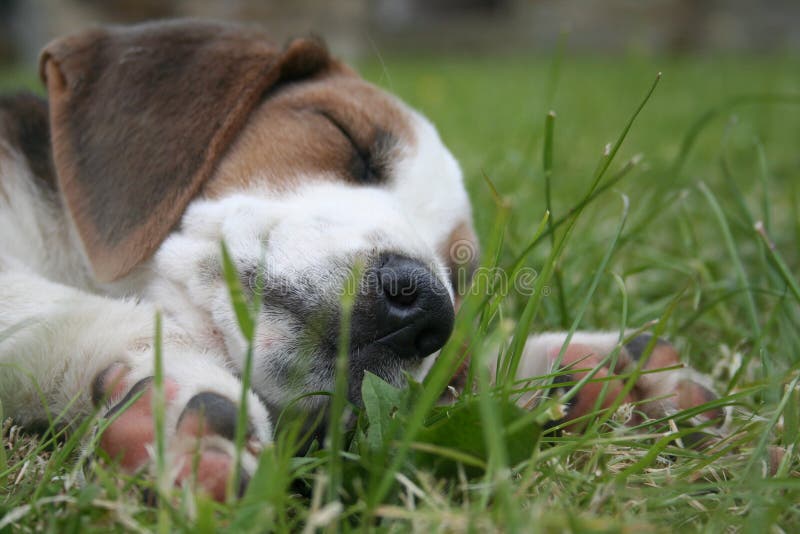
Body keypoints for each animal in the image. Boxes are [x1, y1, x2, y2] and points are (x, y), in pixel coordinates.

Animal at [0, 18, 724, 500]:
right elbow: (36, 300)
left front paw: (583, 378)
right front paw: (169, 387)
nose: (423, 305)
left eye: (460, 275)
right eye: (342, 133)